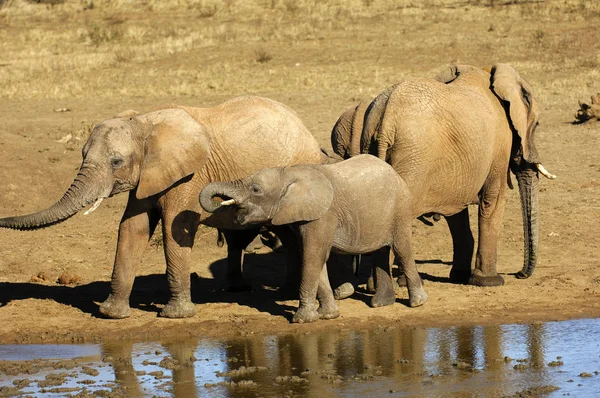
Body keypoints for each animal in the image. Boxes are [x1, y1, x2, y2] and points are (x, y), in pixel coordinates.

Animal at [0, 96, 324, 320]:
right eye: (81, 154)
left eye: (116, 162)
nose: (2, 219)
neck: (143, 122)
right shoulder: (148, 173)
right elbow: (132, 228)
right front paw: (111, 314)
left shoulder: (188, 175)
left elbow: (172, 229)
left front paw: (175, 316)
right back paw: (279, 291)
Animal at [358, 63, 556, 284]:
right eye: (537, 125)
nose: (520, 274)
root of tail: (387, 118)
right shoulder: (500, 145)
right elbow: (493, 200)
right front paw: (490, 282)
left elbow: (456, 213)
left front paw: (460, 276)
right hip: (413, 159)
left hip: (370, 144)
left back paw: (377, 287)